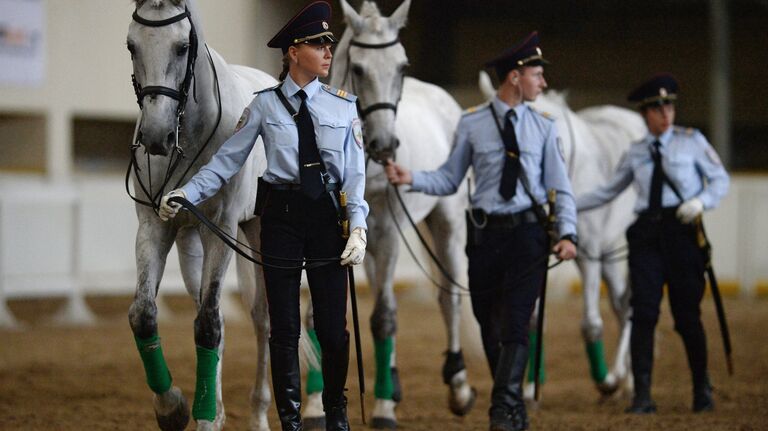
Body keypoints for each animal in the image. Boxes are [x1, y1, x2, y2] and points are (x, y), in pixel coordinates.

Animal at [127, 1, 278, 430]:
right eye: (131, 45)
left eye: (182, 47)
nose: (156, 137)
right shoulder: (154, 228)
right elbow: (144, 314)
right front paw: (174, 408)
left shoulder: (221, 232)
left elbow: (210, 325)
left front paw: (206, 418)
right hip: (190, 240)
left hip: (256, 234)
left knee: (262, 319)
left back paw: (258, 413)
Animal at [304, 0, 476, 428]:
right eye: (359, 67)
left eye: (402, 65)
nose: (385, 144)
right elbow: (316, 315)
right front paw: (314, 405)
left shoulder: (387, 231)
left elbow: (384, 316)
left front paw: (382, 409)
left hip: (447, 224)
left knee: (448, 298)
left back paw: (458, 387)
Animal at [476, 72, 644, 400]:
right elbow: (530, 319)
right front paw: (530, 388)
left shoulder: (587, 253)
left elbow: (590, 323)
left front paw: (605, 382)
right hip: (608, 252)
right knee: (621, 305)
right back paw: (627, 379)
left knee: (631, 305)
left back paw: (622, 380)